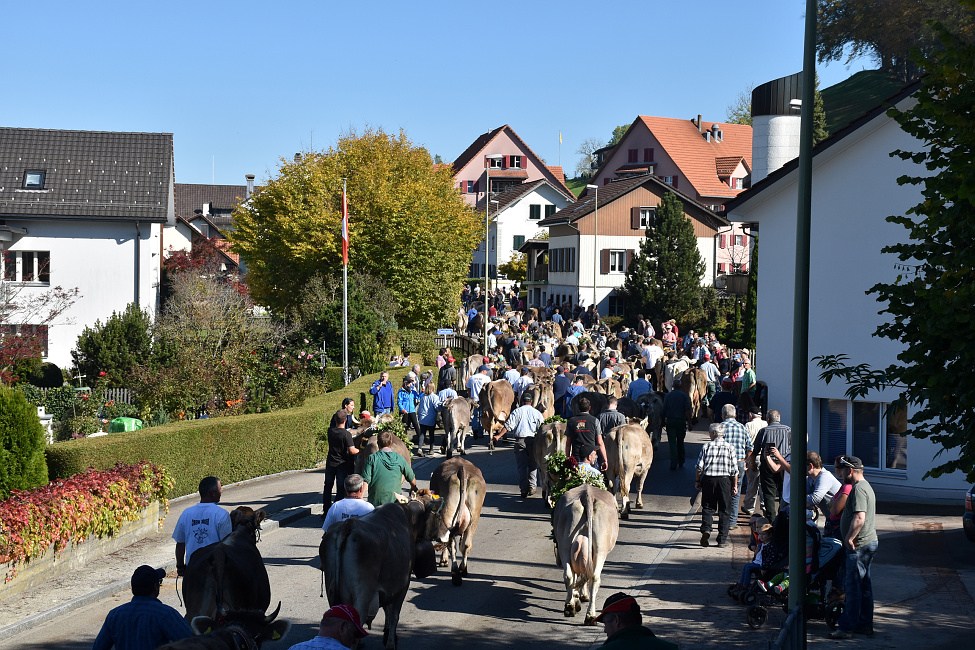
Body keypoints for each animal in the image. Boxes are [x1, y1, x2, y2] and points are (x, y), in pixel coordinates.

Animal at [428, 454, 486, 584]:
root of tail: (461, 468)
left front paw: (444, 560)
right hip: (474, 516)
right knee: (466, 544)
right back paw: (462, 570)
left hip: (449, 514)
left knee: (451, 543)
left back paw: (456, 574)